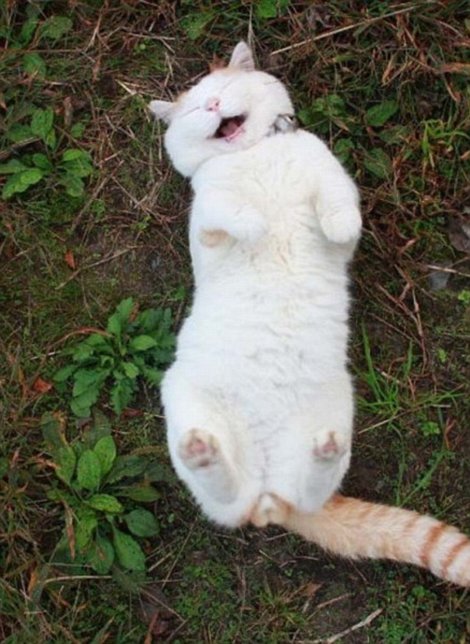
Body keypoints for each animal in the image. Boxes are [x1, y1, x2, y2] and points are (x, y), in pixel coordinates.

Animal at [151, 41, 470, 588]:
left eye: (222, 89)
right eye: (195, 109)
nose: (213, 106)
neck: (256, 153)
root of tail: (267, 497)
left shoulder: (332, 186)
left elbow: (341, 208)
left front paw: (334, 220)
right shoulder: (207, 227)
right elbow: (226, 212)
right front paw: (254, 222)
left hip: (335, 408)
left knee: (304, 487)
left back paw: (324, 450)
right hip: (185, 401)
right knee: (224, 499)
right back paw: (204, 454)